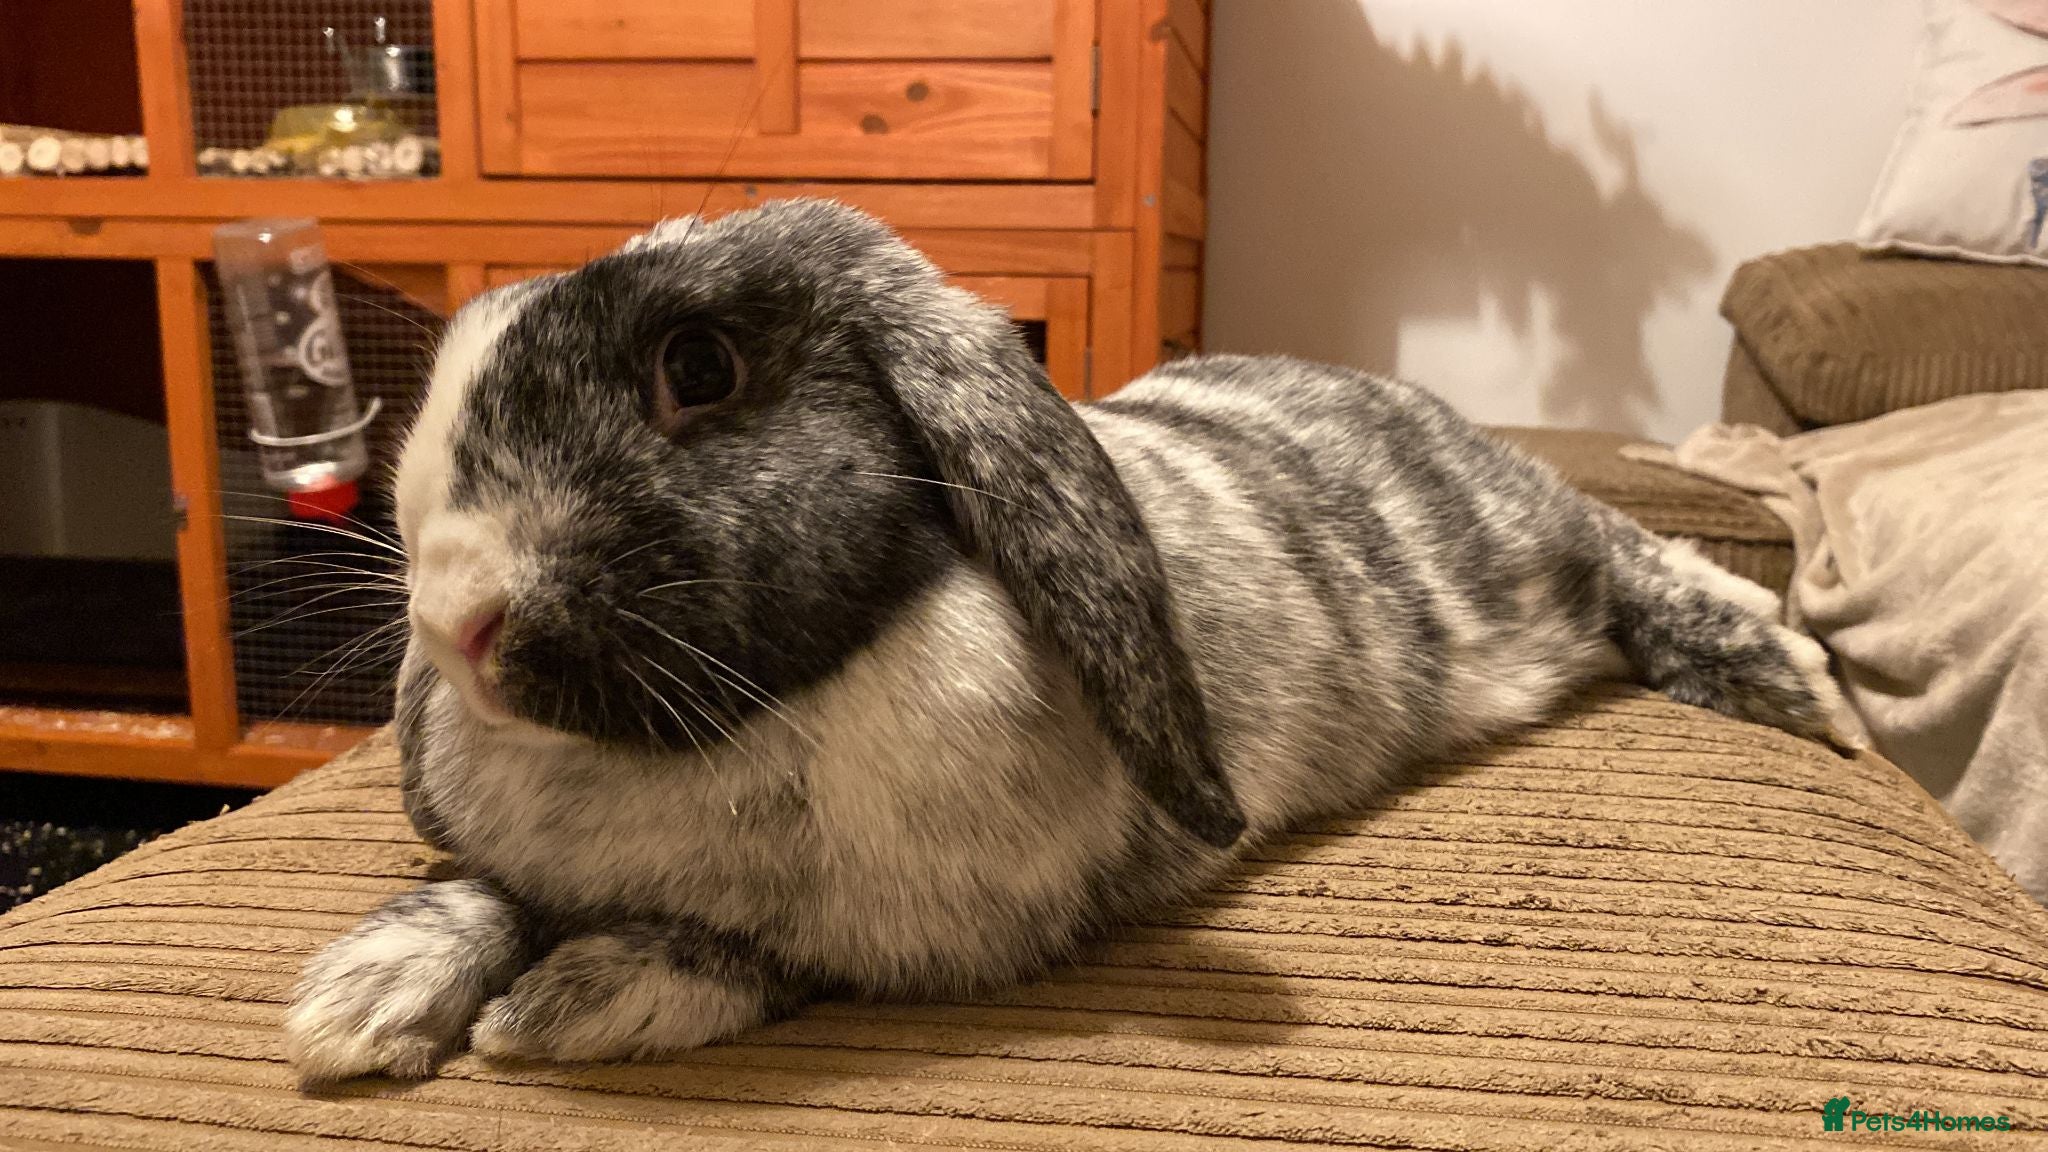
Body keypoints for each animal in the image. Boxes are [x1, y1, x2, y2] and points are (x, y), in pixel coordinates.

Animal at [283, 198, 1842, 1083]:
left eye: (699, 368)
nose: (458, 626)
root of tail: (1400, 400)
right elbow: (481, 890)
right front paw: (360, 1000)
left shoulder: (944, 932)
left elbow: (745, 955)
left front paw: (569, 1004)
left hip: (1527, 549)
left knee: (1633, 553)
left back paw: (1793, 685)